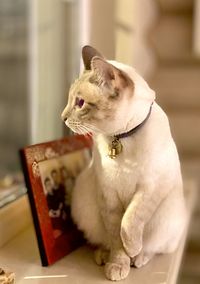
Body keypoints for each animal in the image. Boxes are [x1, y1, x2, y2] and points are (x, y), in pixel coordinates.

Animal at [61, 45, 188, 280]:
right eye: (69, 100)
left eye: (80, 103)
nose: (62, 118)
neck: (122, 137)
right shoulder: (108, 195)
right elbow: (116, 237)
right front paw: (118, 264)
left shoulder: (150, 188)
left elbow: (128, 222)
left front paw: (131, 251)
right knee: (102, 241)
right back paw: (104, 256)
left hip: (166, 219)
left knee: (154, 247)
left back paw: (138, 256)